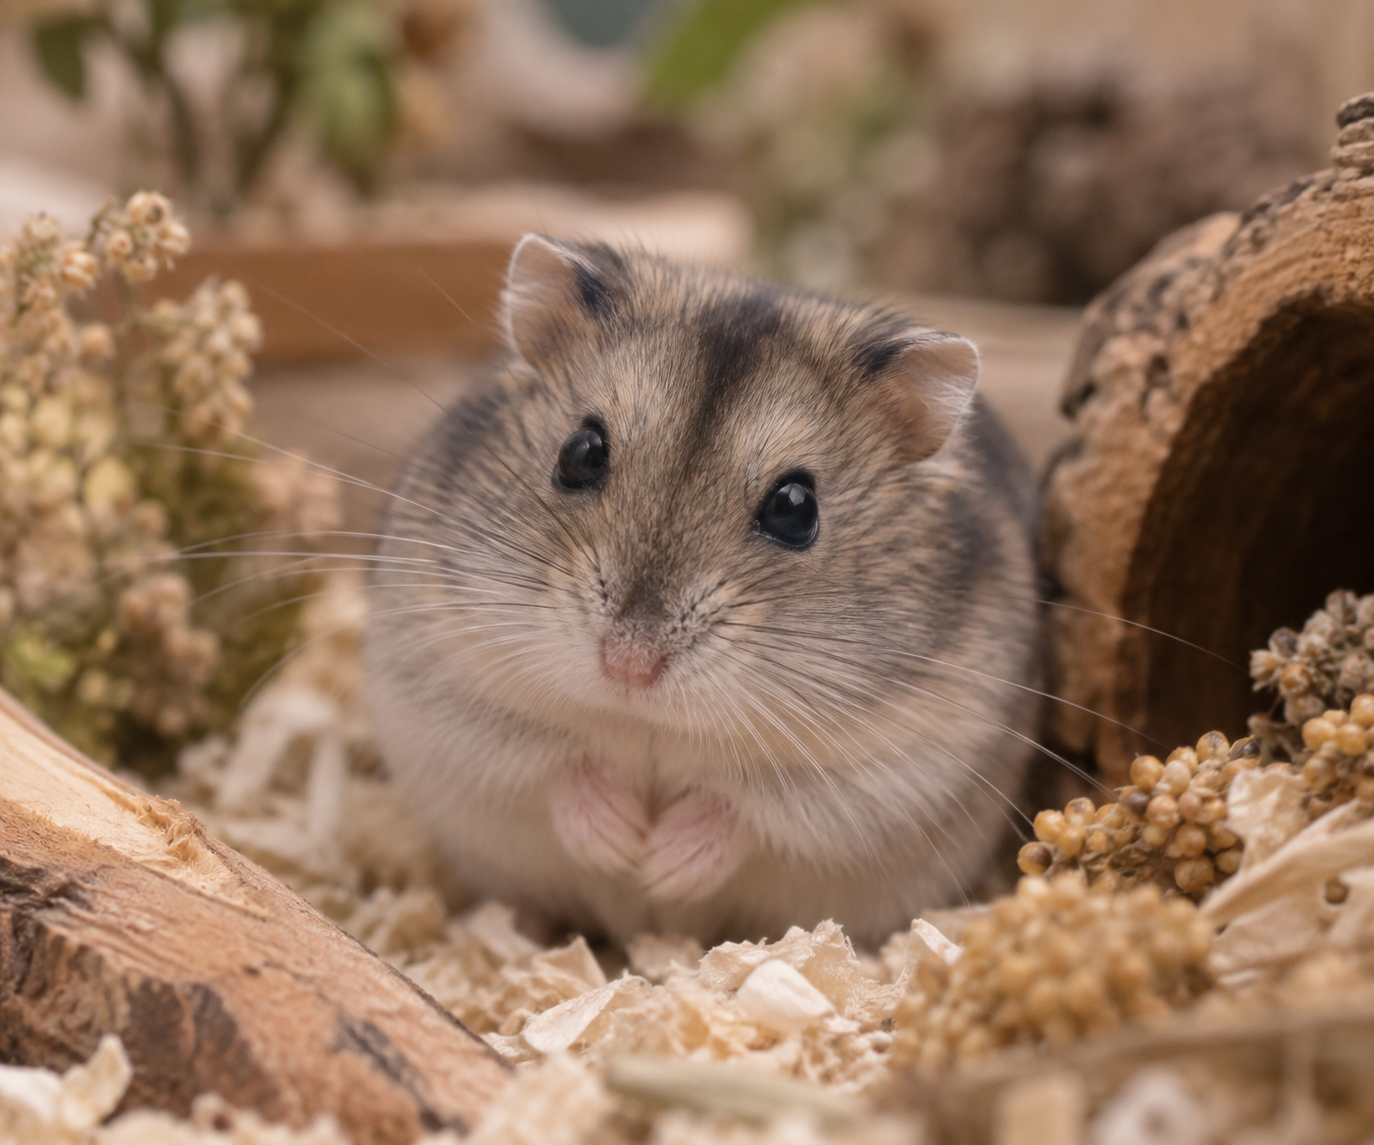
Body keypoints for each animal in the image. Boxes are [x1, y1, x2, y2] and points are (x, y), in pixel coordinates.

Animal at [364, 235, 1041, 948]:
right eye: (580, 452)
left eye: (796, 509)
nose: (628, 666)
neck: (646, 724)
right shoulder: (445, 686)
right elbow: (559, 762)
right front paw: (624, 843)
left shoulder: (898, 768)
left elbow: (744, 808)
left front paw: (658, 864)